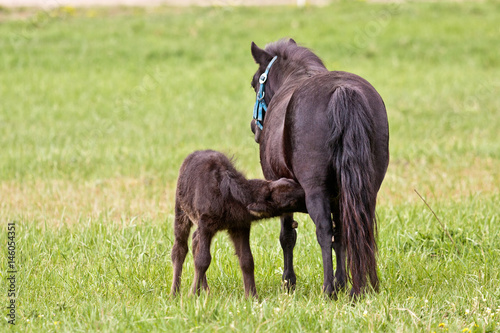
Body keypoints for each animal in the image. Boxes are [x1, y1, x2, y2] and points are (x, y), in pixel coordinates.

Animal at [171, 149, 304, 296]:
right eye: (291, 201)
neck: (229, 196)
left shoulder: (240, 226)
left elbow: (247, 260)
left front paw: (252, 296)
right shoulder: (206, 224)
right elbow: (203, 260)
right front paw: (193, 294)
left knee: (195, 240)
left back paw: (206, 290)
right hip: (181, 212)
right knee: (179, 249)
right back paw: (174, 293)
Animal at [249, 38, 386, 296]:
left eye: (254, 84)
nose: (254, 127)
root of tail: (343, 91)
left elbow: (288, 236)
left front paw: (289, 281)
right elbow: (341, 235)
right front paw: (342, 281)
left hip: (316, 190)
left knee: (323, 231)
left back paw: (328, 288)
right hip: (365, 189)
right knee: (355, 228)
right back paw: (357, 287)